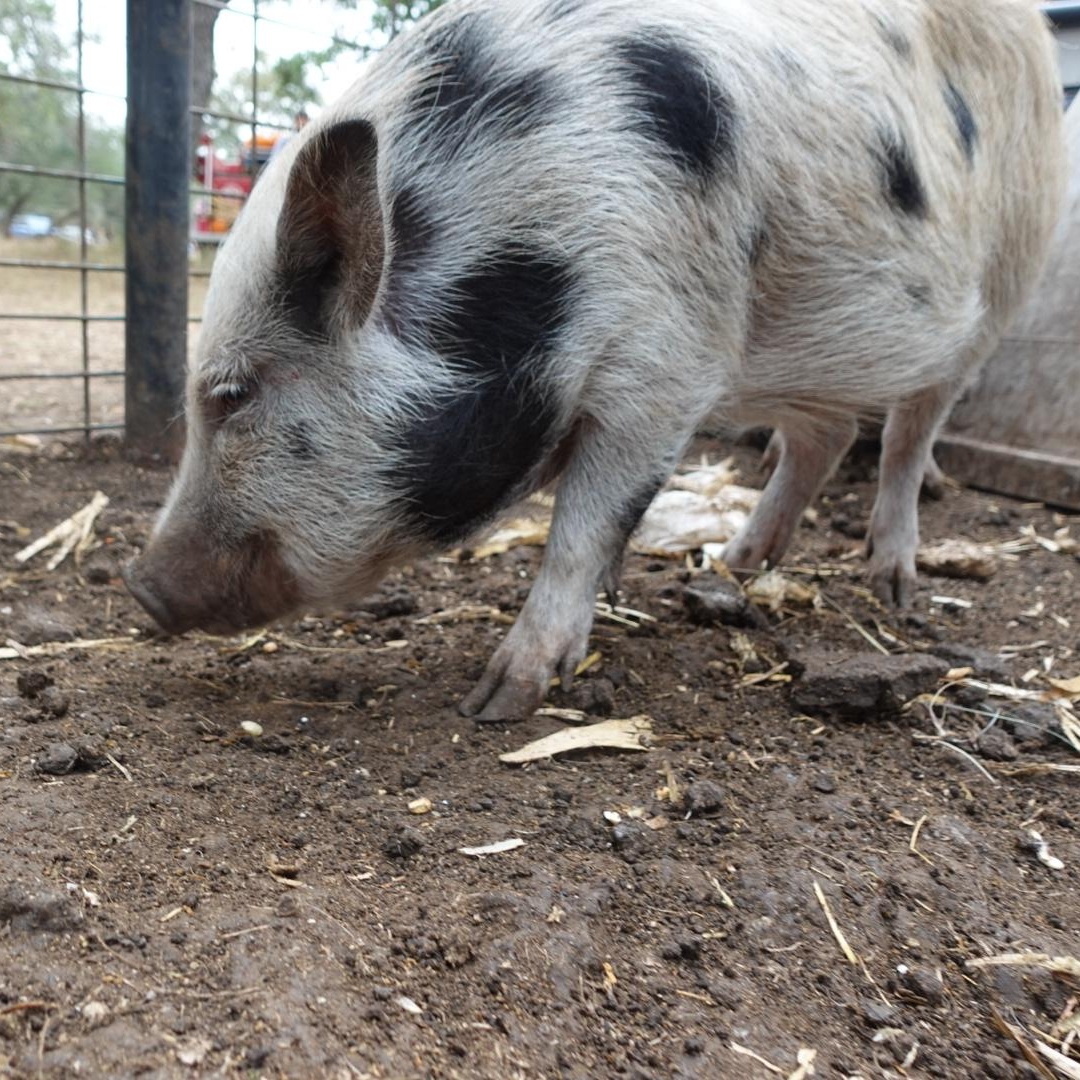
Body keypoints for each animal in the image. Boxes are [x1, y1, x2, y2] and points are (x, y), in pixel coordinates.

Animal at [125, 0, 1066, 720]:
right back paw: (735, 567)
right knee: (822, 437)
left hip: (1006, 277)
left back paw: (892, 587)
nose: (141, 585)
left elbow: (588, 521)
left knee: (911, 432)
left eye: (233, 393)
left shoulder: (666, 362)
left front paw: (497, 701)